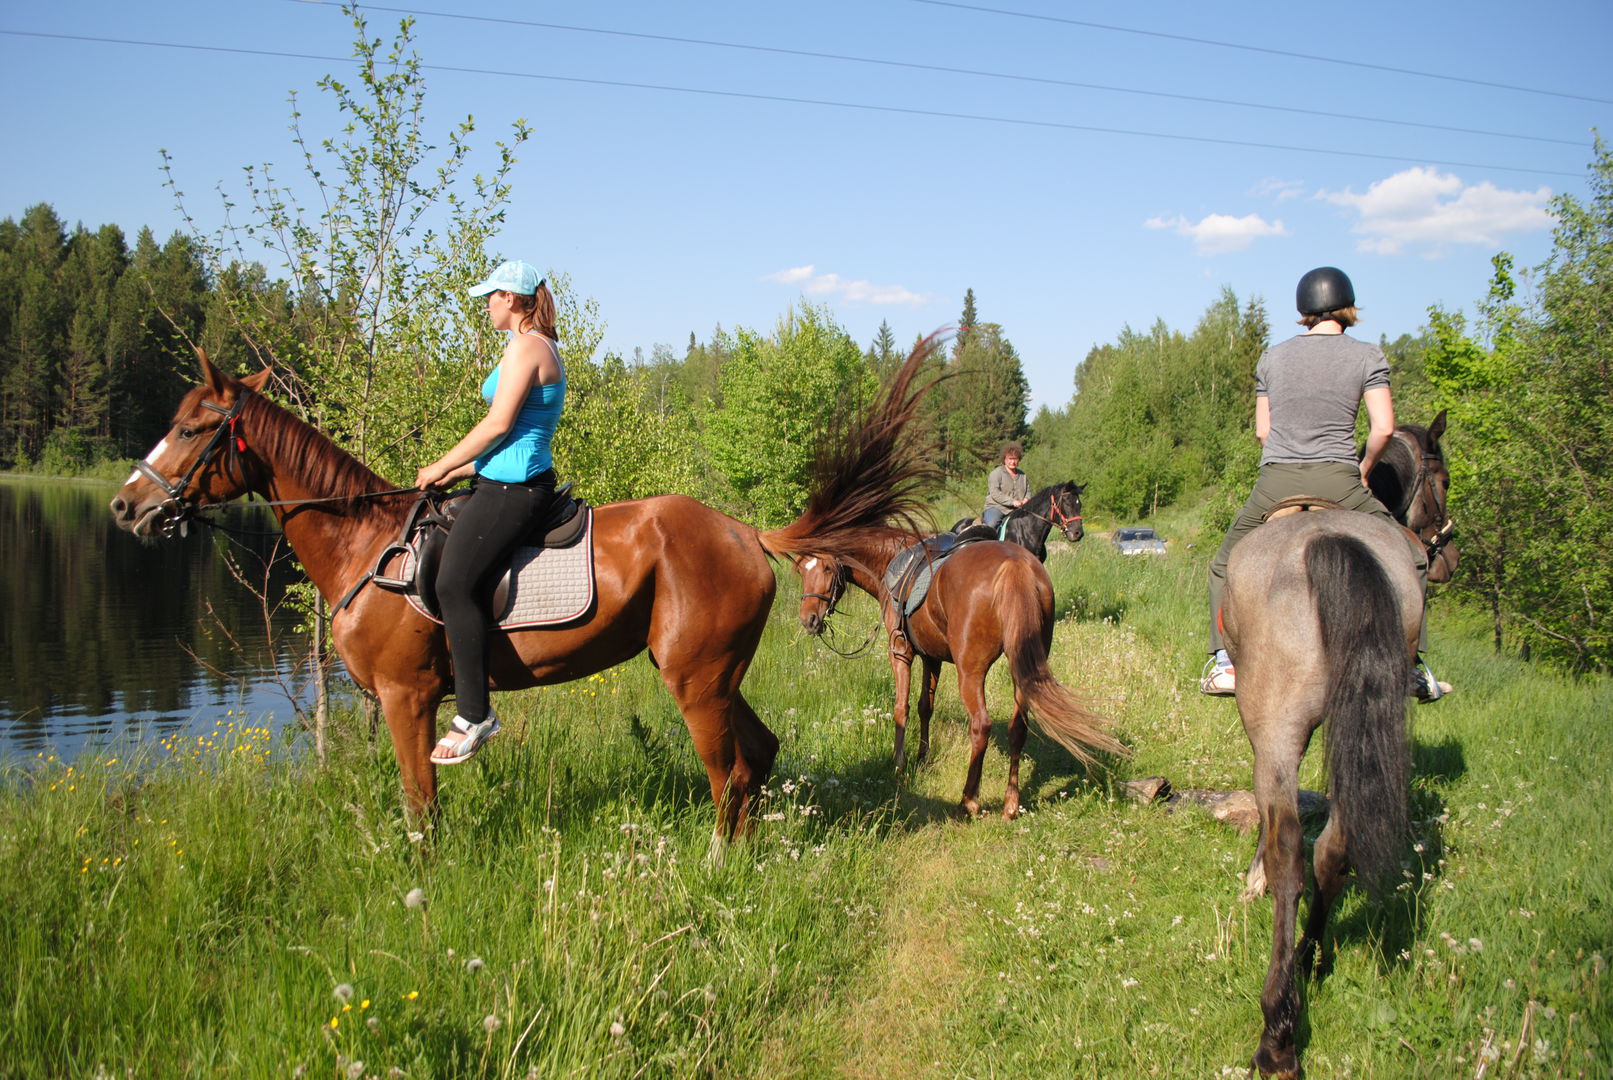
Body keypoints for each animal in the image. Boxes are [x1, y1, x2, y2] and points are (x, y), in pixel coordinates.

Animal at [110, 343, 941, 844]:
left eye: (192, 429)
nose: (125, 506)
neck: (365, 546)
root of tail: (745, 533)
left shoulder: (406, 696)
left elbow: (420, 804)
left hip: (695, 680)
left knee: (727, 773)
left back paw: (713, 867)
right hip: (714, 672)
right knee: (759, 754)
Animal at [793, 519, 1122, 815]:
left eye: (826, 568)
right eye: (801, 570)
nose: (808, 620)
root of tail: (1016, 567)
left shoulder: (901, 651)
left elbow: (902, 708)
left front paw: (899, 764)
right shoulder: (932, 657)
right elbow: (925, 706)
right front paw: (922, 756)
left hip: (971, 672)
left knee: (981, 725)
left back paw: (969, 799)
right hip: (1024, 670)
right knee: (1018, 728)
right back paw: (1010, 804)